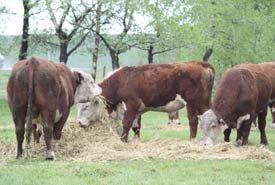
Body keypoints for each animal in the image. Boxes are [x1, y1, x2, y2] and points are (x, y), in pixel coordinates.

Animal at [77, 61, 216, 142]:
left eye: (86, 106)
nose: (79, 123)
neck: (120, 82)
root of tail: (201, 63)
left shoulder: (131, 105)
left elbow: (126, 123)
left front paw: (123, 140)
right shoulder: (138, 110)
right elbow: (136, 126)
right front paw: (136, 141)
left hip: (192, 102)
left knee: (193, 121)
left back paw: (191, 140)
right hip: (204, 102)